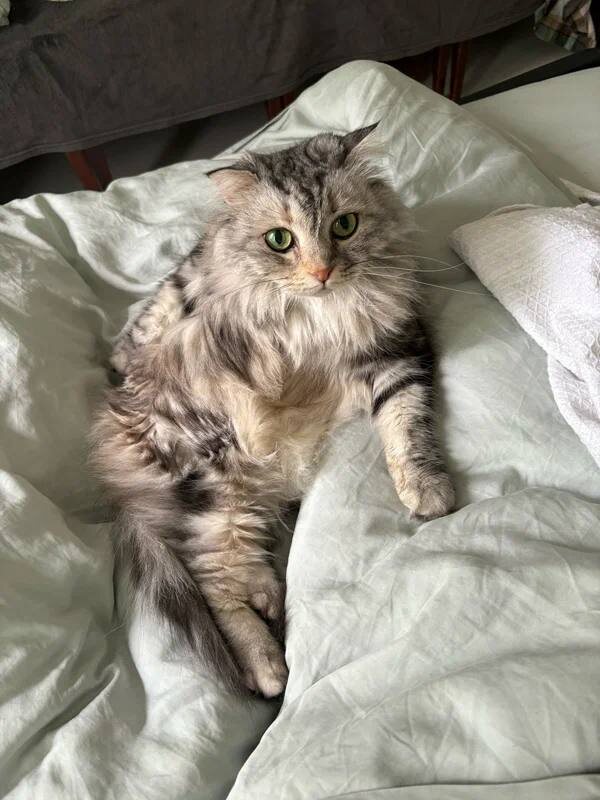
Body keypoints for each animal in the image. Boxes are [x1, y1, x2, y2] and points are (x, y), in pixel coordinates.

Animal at [91, 124, 454, 698]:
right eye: (279, 240)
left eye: (345, 225)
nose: (322, 271)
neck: (322, 321)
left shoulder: (396, 354)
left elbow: (407, 429)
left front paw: (427, 493)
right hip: (212, 481)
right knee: (213, 583)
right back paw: (266, 669)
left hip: (235, 495)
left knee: (234, 567)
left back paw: (267, 597)